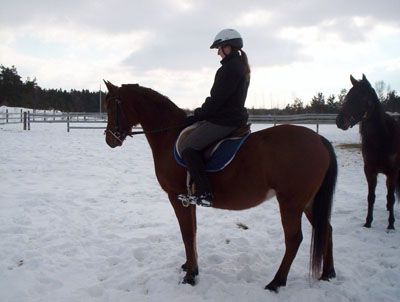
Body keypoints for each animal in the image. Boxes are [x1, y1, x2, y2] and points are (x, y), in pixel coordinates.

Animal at [103, 79, 338, 290]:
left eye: (112, 106)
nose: (109, 140)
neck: (170, 136)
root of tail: (319, 140)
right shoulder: (189, 199)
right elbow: (192, 232)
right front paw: (191, 266)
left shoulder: (176, 197)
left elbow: (186, 233)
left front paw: (190, 276)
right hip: (308, 202)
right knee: (326, 228)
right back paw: (328, 273)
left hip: (291, 203)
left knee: (294, 239)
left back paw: (276, 282)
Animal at [336, 74, 398, 230]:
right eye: (347, 96)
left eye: (361, 97)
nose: (339, 121)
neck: (382, 139)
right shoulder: (370, 171)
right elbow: (371, 197)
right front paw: (368, 222)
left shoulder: (393, 171)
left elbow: (391, 197)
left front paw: (391, 224)